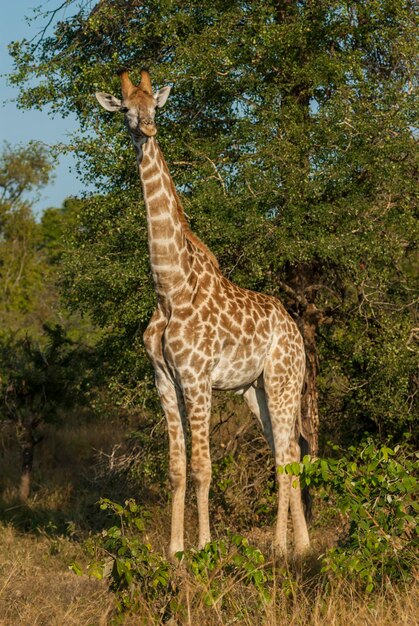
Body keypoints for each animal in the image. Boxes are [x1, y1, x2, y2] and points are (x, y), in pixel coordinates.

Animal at [96, 67, 312, 556]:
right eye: (126, 109)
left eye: (155, 107)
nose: (148, 128)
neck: (170, 289)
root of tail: (295, 331)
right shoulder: (164, 380)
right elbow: (177, 468)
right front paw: (175, 551)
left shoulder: (197, 379)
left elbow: (202, 467)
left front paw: (205, 547)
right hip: (256, 390)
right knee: (286, 452)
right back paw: (302, 546)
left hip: (283, 380)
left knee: (287, 456)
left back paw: (279, 547)